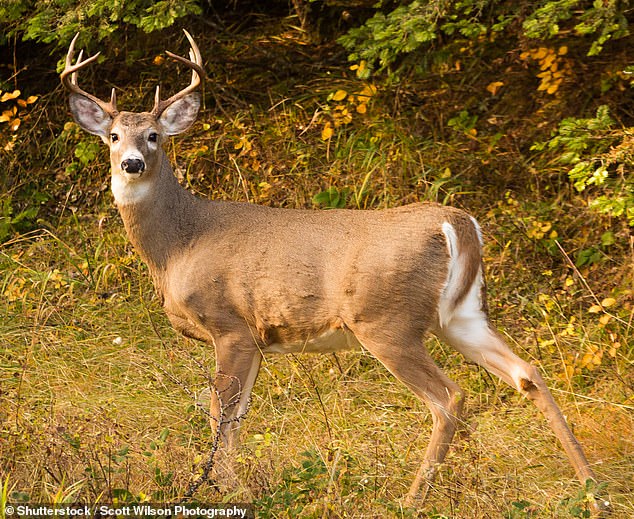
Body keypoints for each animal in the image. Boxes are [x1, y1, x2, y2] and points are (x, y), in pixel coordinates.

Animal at [60, 30, 604, 510]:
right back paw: (592, 490)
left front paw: (225, 489)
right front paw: (233, 485)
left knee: (450, 398)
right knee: (528, 373)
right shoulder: (257, 339)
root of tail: (457, 223)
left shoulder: (229, 324)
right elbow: (238, 416)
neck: (178, 244)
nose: (131, 163)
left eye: (153, 135)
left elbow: (220, 414)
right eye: (113, 135)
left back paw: (412, 500)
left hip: (386, 321)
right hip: (462, 315)